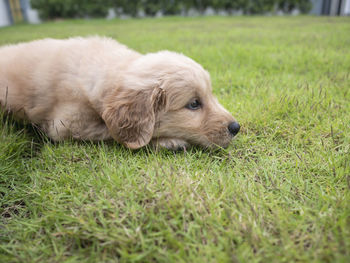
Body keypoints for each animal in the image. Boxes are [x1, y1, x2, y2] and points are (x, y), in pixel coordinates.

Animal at [0, 36, 239, 151]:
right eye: (193, 104)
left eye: (211, 95)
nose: (236, 127)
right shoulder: (66, 124)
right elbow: (110, 132)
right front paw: (167, 142)